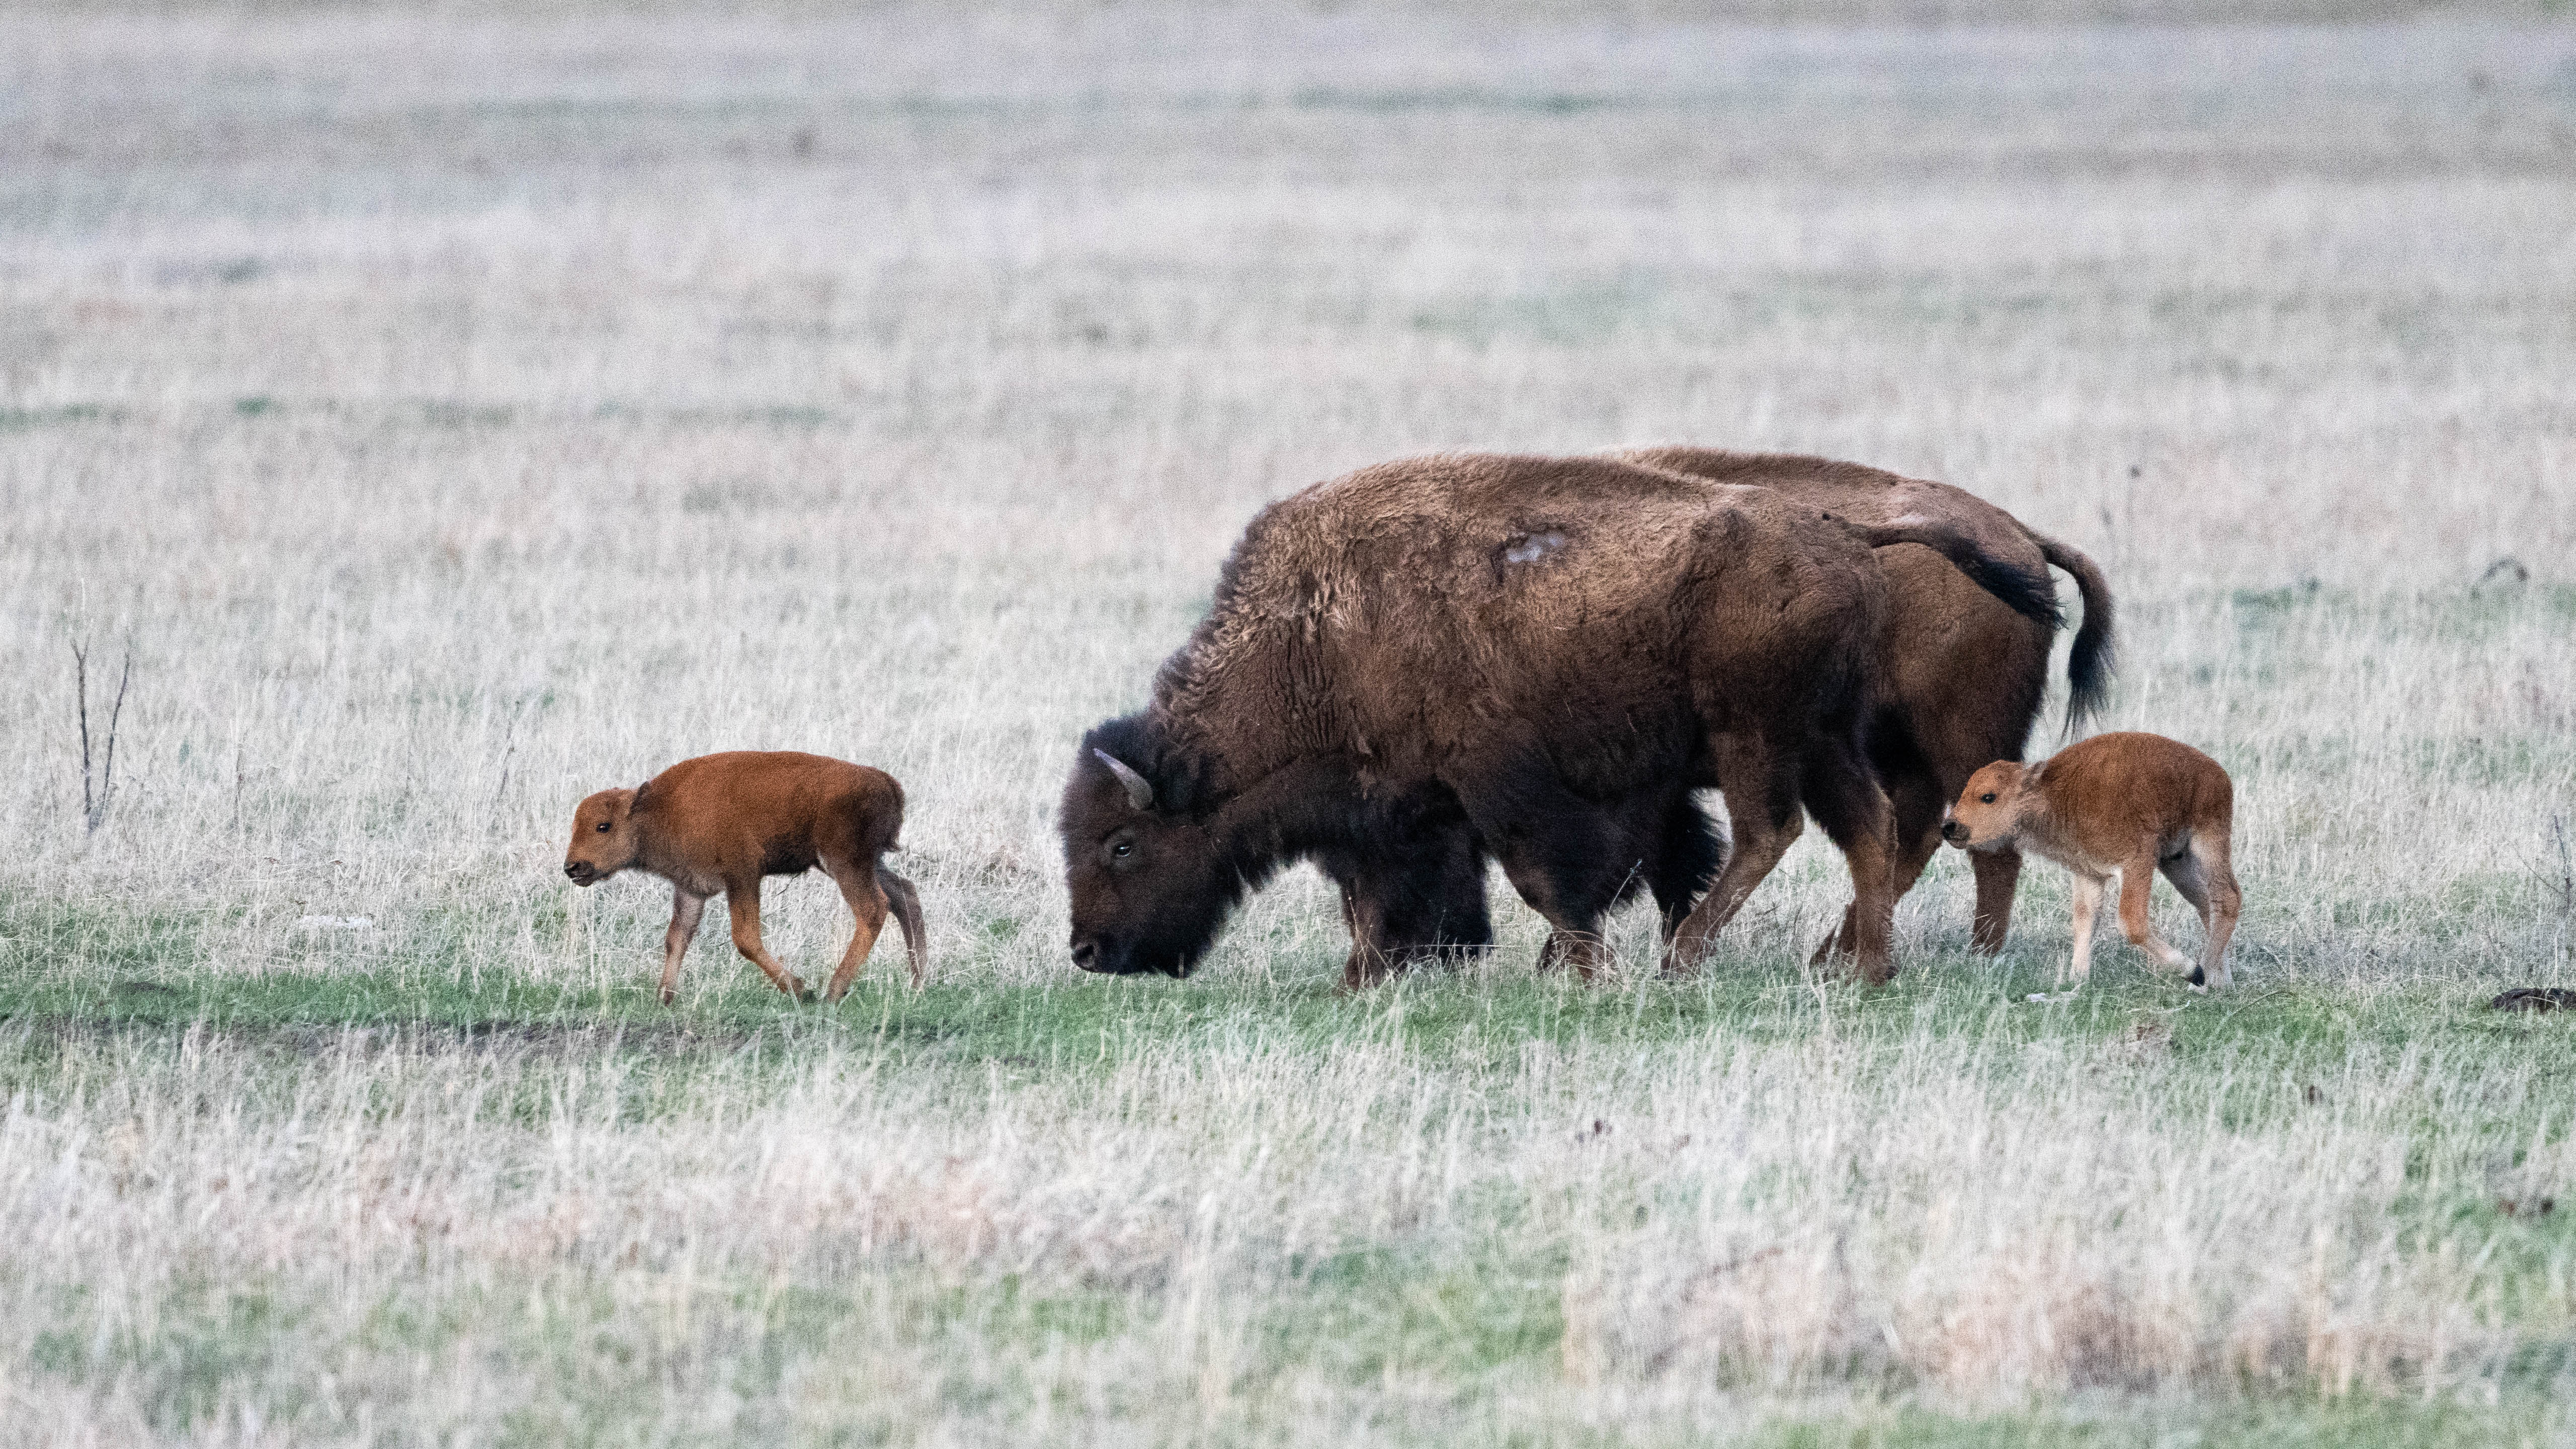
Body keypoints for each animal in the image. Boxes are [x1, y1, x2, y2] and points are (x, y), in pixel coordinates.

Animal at [559, 756, 932, 1003]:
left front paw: (800, 989)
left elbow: (745, 938)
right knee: (905, 896)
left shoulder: (742, 877)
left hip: (844, 863)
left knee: (873, 908)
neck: (659, 810)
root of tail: (887, 783)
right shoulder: (691, 889)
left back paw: (833, 990)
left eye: (603, 826)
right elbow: (677, 938)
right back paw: (917, 984)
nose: (573, 867)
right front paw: (664, 998)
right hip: (866, 863)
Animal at [1056, 453, 2060, 988]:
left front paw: (1580, 970)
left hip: (1760, 735)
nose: (1089, 950)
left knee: (1773, 832)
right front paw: (1368, 977)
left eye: (1122, 845)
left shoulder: (1501, 784)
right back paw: (1860, 967)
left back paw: (1687, 960)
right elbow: (1386, 897)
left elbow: (1548, 878)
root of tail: (1847, 534)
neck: (1318, 634)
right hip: (1823, 739)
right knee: (1870, 828)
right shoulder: (1400, 808)